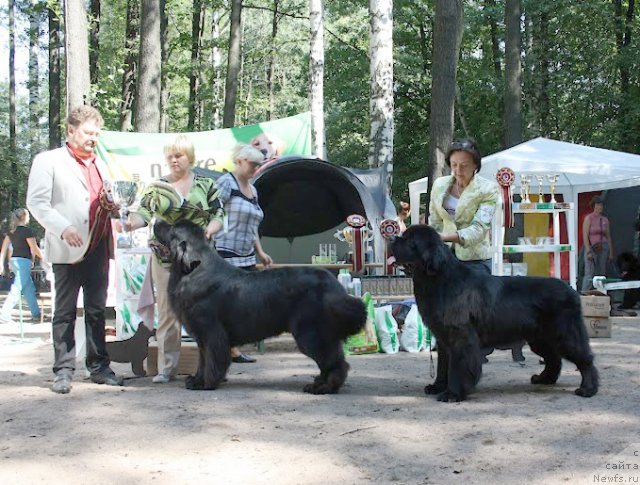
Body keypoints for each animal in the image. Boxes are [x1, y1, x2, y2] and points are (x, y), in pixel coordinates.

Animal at [152, 220, 368, 394]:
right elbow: (202, 360)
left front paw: (206, 384)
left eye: (171, 228)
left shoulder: (211, 332)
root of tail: (334, 285)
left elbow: (211, 360)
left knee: (334, 362)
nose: (157, 220)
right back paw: (318, 383)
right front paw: (196, 380)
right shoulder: (201, 336)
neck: (192, 271)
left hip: (310, 333)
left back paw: (324, 387)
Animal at [390, 225, 600, 402]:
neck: (438, 279)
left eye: (409, 240)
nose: (391, 238)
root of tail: (572, 290)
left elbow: (457, 366)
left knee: (585, 359)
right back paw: (544, 379)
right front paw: (437, 387)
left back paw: (588, 389)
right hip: (540, 338)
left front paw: (453, 393)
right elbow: (443, 366)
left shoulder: (460, 337)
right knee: (553, 358)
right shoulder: (443, 339)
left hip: (565, 334)